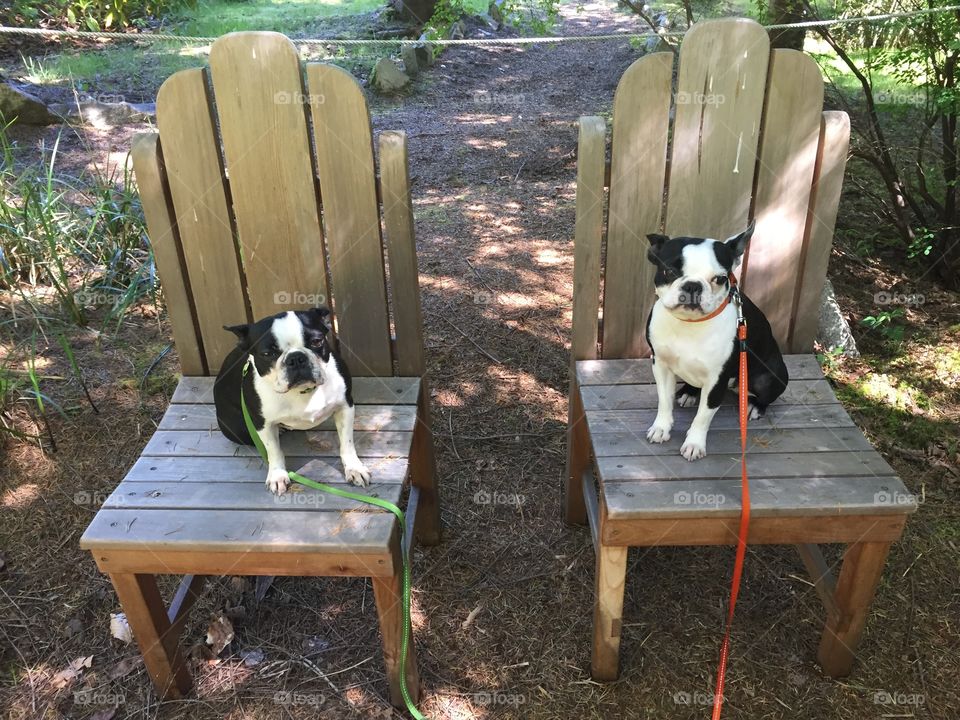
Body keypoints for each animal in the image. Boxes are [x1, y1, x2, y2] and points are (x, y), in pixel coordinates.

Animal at [214, 306, 372, 498]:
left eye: (317, 341)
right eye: (267, 354)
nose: (296, 358)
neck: (302, 391)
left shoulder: (345, 406)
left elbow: (347, 442)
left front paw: (354, 468)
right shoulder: (262, 424)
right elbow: (273, 450)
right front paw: (277, 475)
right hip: (238, 430)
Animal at [644, 222, 788, 462]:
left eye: (720, 279)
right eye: (670, 271)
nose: (692, 286)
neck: (690, 325)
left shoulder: (716, 381)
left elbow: (703, 416)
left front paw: (694, 444)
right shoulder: (661, 365)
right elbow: (664, 400)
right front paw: (661, 428)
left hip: (768, 377)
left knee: (766, 394)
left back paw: (755, 407)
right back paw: (689, 393)